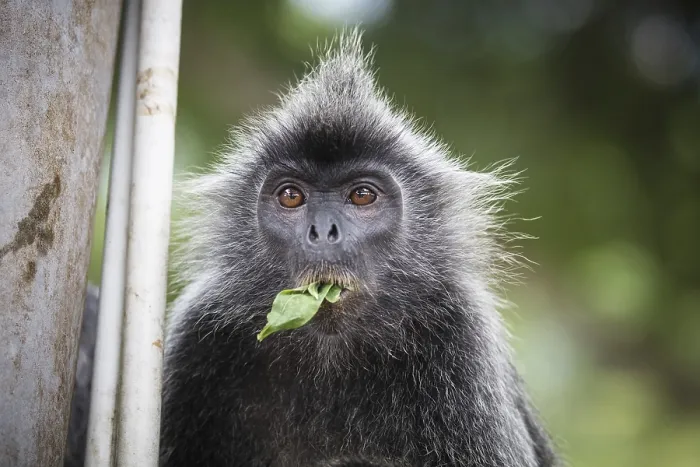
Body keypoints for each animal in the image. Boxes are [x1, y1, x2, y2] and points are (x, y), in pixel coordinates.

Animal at [64, 29, 559, 467]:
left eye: (362, 196)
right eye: (291, 197)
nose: (323, 231)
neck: (330, 352)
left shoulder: (462, 338)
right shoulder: (198, 333)